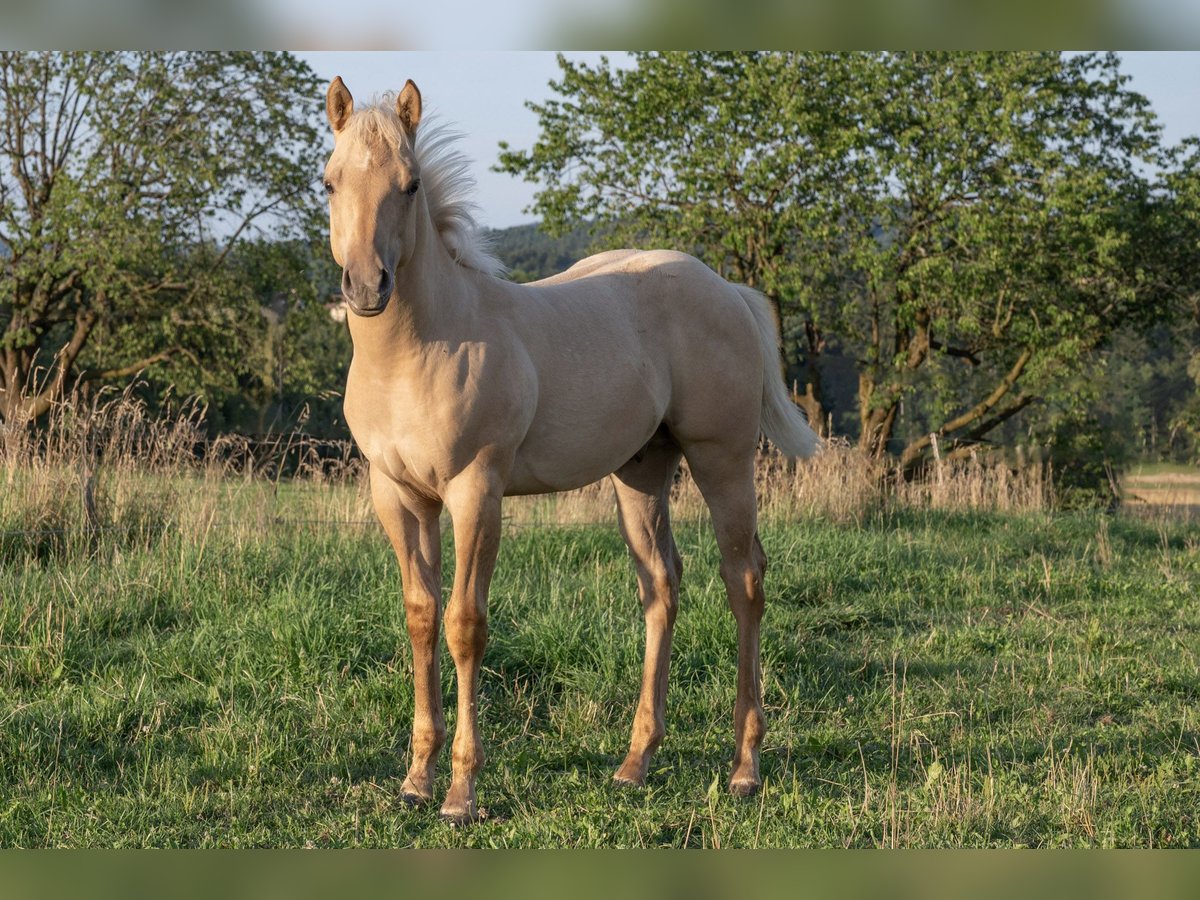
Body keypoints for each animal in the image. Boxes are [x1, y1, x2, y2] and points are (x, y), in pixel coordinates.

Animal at [324, 77, 820, 825]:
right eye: (329, 183)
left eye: (409, 186)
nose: (364, 286)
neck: (423, 349)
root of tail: (728, 291)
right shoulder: (399, 496)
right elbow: (421, 618)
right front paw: (415, 780)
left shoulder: (476, 491)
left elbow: (465, 624)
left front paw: (462, 793)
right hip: (642, 472)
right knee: (661, 585)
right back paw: (635, 763)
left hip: (722, 458)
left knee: (745, 580)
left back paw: (743, 768)